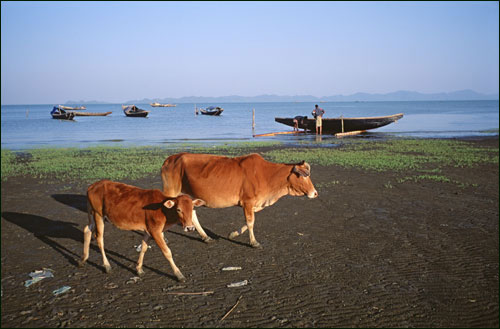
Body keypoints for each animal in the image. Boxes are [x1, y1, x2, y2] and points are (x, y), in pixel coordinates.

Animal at [161, 152, 316, 247]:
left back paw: (205, 237)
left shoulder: (253, 204)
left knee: (192, 212)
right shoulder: (248, 201)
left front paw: (233, 234)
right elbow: (251, 222)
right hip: (172, 190)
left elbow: (248, 222)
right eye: (304, 176)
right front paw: (254, 242)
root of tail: (170, 159)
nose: (315, 193)